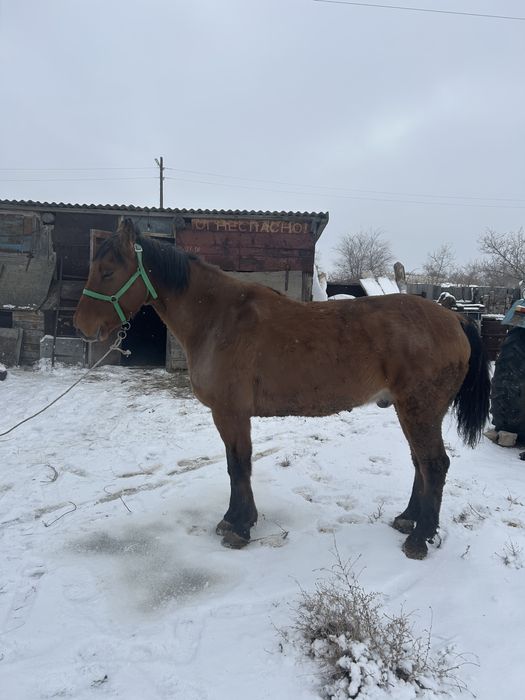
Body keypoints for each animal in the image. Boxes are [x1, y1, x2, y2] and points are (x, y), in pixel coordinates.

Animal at [73, 218, 491, 560]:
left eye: (107, 271)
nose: (81, 325)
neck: (218, 319)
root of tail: (454, 319)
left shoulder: (231, 413)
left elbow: (239, 466)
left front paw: (239, 527)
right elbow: (236, 465)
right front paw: (235, 520)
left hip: (419, 410)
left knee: (434, 465)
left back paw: (420, 539)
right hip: (412, 411)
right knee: (421, 464)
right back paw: (407, 520)